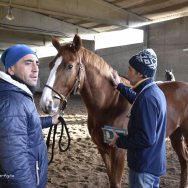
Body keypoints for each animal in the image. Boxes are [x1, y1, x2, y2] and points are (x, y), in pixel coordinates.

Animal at [40, 34, 188, 187]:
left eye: (69, 66)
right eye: (51, 65)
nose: (46, 103)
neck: (111, 103)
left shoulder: (118, 152)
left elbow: (116, 182)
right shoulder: (102, 149)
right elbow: (111, 180)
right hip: (176, 135)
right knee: (184, 162)